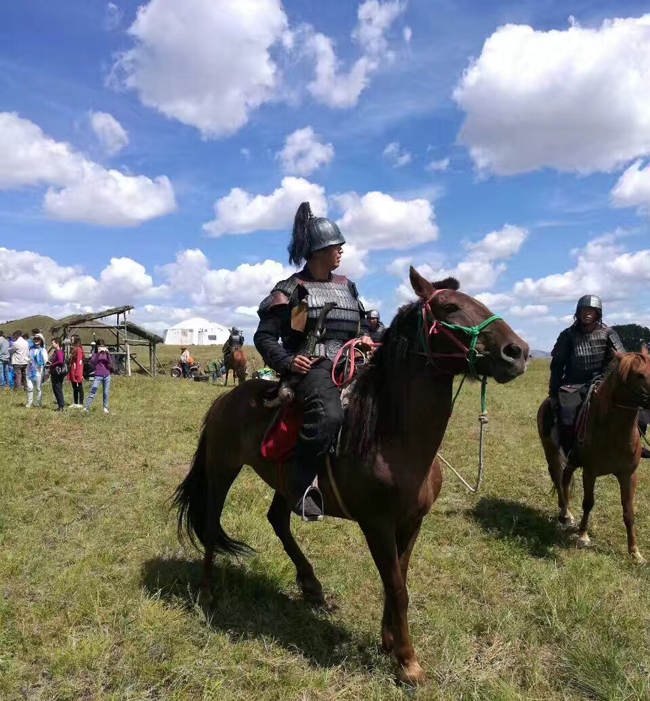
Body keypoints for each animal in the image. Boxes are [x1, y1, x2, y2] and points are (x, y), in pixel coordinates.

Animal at [171, 268, 528, 684]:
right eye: (451, 307)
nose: (517, 352)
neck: (392, 437)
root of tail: (225, 399)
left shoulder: (412, 522)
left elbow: (399, 579)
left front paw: (390, 642)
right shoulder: (376, 523)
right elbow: (396, 586)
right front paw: (408, 661)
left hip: (286, 484)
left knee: (278, 519)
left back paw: (311, 586)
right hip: (221, 470)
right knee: (211, 525)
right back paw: (208, 593)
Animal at [536, 348, 648, 564]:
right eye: (639, 375)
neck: (614, 431)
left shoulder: (628, 475)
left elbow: (629, 511)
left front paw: (635, 552)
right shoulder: (590, 472)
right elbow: (588, 503)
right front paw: (583, 535)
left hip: (572, 460)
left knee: (565, 477)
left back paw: (568, 514)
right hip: (551, 451)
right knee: (557, 478)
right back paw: (565, 514)